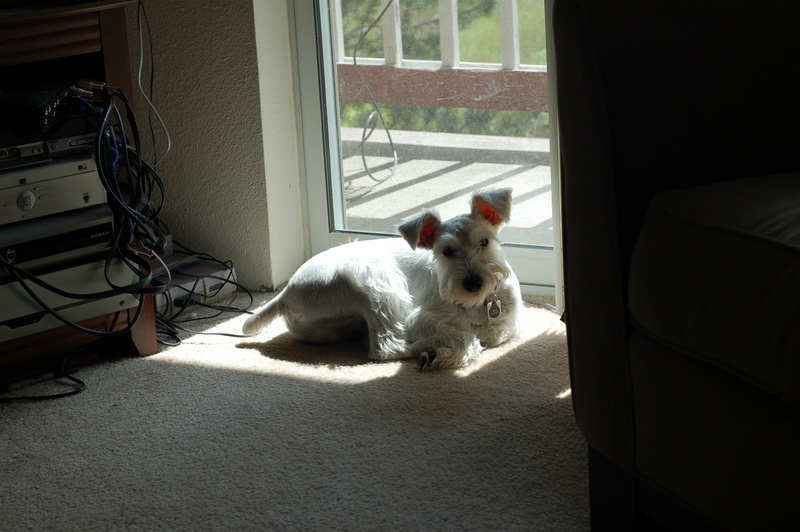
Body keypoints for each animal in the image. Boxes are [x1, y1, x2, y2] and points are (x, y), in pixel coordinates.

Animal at [242, 188, 523, 370]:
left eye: (484, 242)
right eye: (446, 251)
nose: (473, 283)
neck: (479, 302)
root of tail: (286, 292)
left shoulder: (509, 324)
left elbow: (495, 333)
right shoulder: (421, 318)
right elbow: (467, 338)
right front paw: (444, 351)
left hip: (331, 327)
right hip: (378, 284)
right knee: (384, 347)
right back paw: (421, 349)